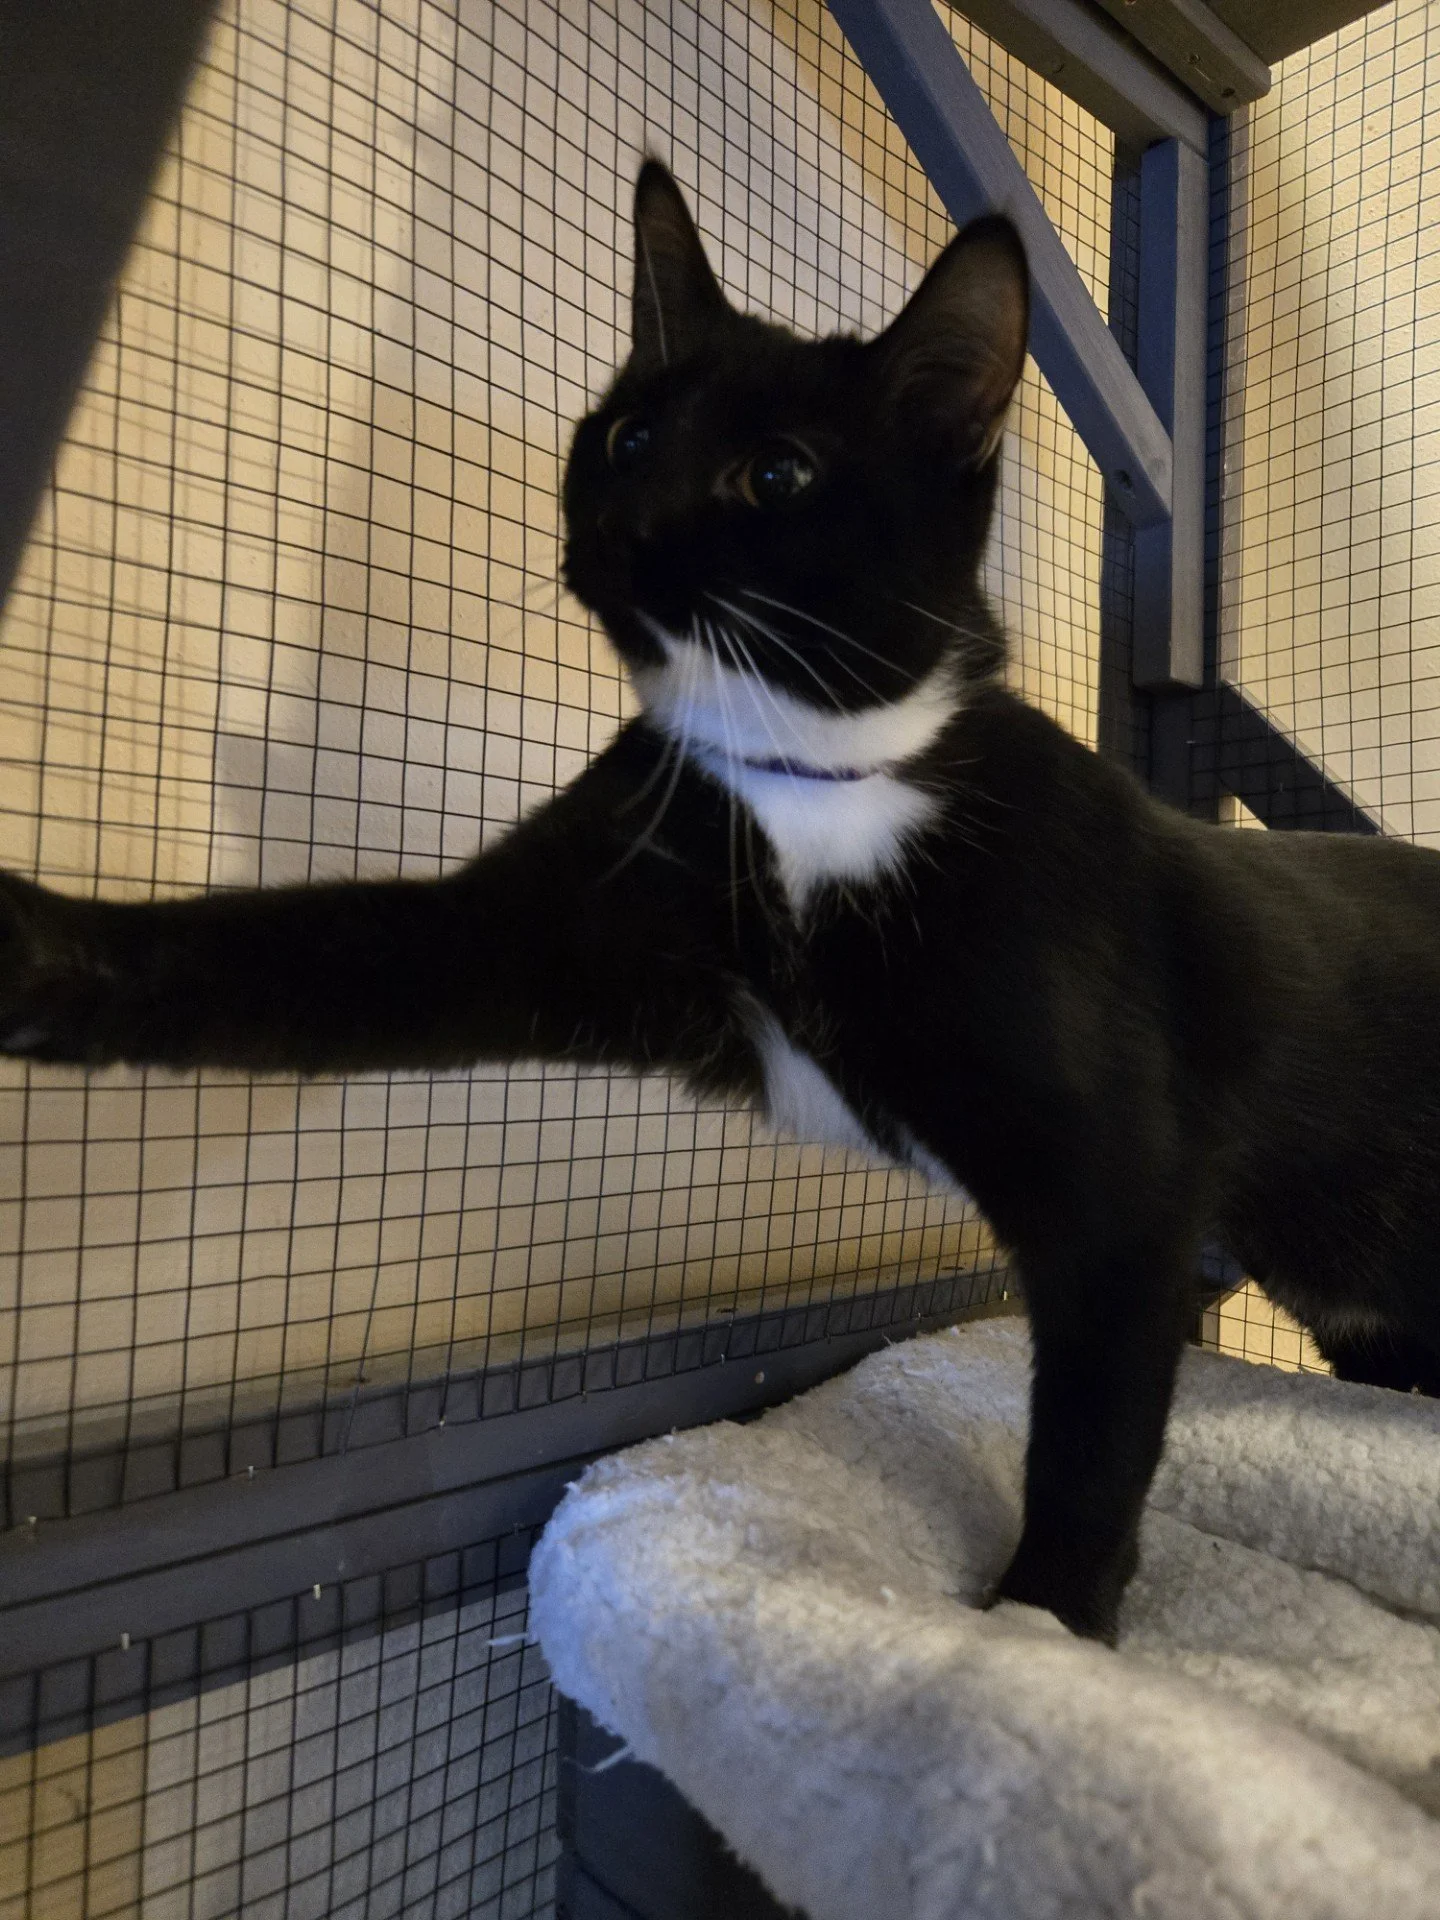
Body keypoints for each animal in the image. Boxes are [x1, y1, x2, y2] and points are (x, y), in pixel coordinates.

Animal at [2, 160, 1439, 1643]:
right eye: (629, 435)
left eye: (779, 473)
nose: (621, 525)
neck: (817, 781)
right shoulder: (555, 915)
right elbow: (282, 956)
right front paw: (34, 950)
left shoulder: (1122, 1193)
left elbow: (1091, 1444)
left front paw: (1039, 1635)